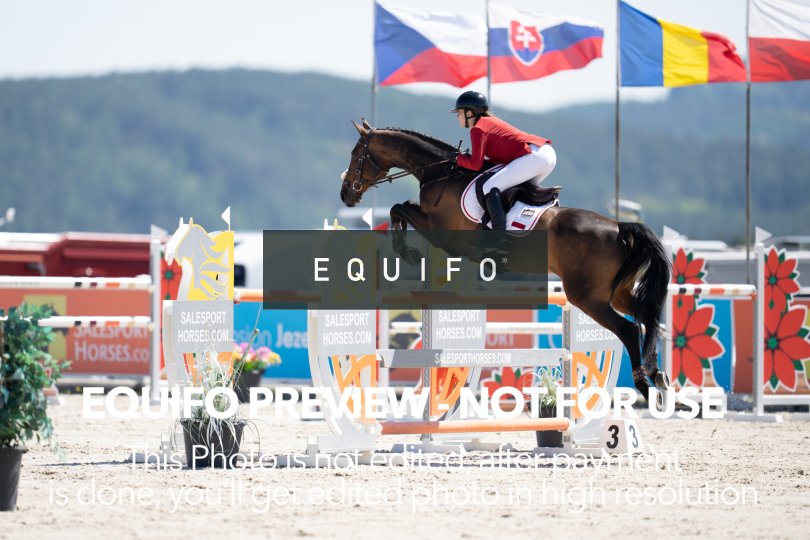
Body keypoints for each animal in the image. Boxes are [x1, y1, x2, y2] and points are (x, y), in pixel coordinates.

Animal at [340, 119, 672, 400]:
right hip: (615, 294)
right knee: (647, 316)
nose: (346, 195)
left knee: (629, 329)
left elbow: (398, 209)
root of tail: (619, 227)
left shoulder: (440, 231)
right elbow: (401, 208)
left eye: (356, 154)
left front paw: (408, 252)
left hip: (588, 297)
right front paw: (406, 250)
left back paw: (644, 383)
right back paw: (658, 374)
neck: (439, 172)